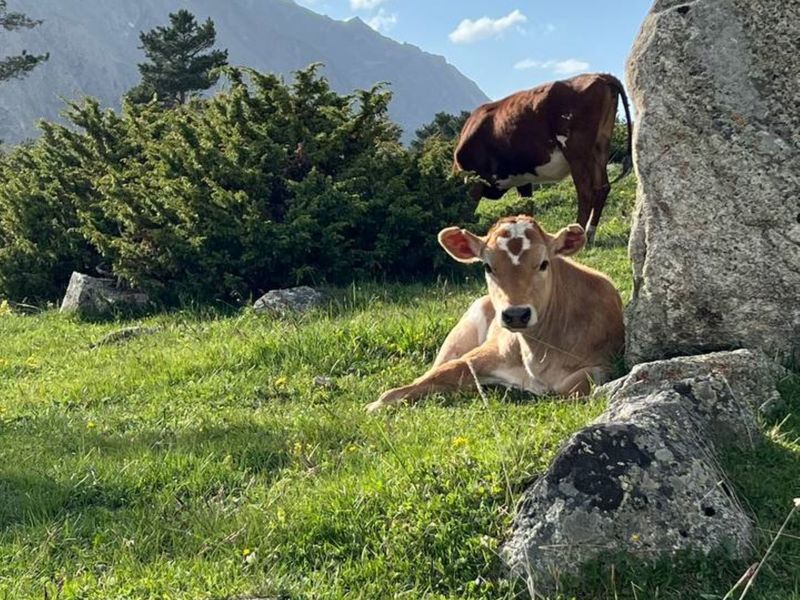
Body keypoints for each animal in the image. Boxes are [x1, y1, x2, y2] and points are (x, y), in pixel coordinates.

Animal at [366, 214, 624, 412]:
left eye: (543, 263)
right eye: (487, 266)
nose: (516, 314)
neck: (537, 354)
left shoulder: (601, 363)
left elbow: (575, 386)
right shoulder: (483, 354)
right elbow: (440, 373)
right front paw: (377, 404)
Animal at [453, 73, 633, 244]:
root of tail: (601, 76)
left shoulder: (474, 179)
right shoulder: (522, 177)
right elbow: (526, 206)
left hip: (576, 151)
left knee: (586, 192)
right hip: (600, 148)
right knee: (602, 187)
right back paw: (590, 233)